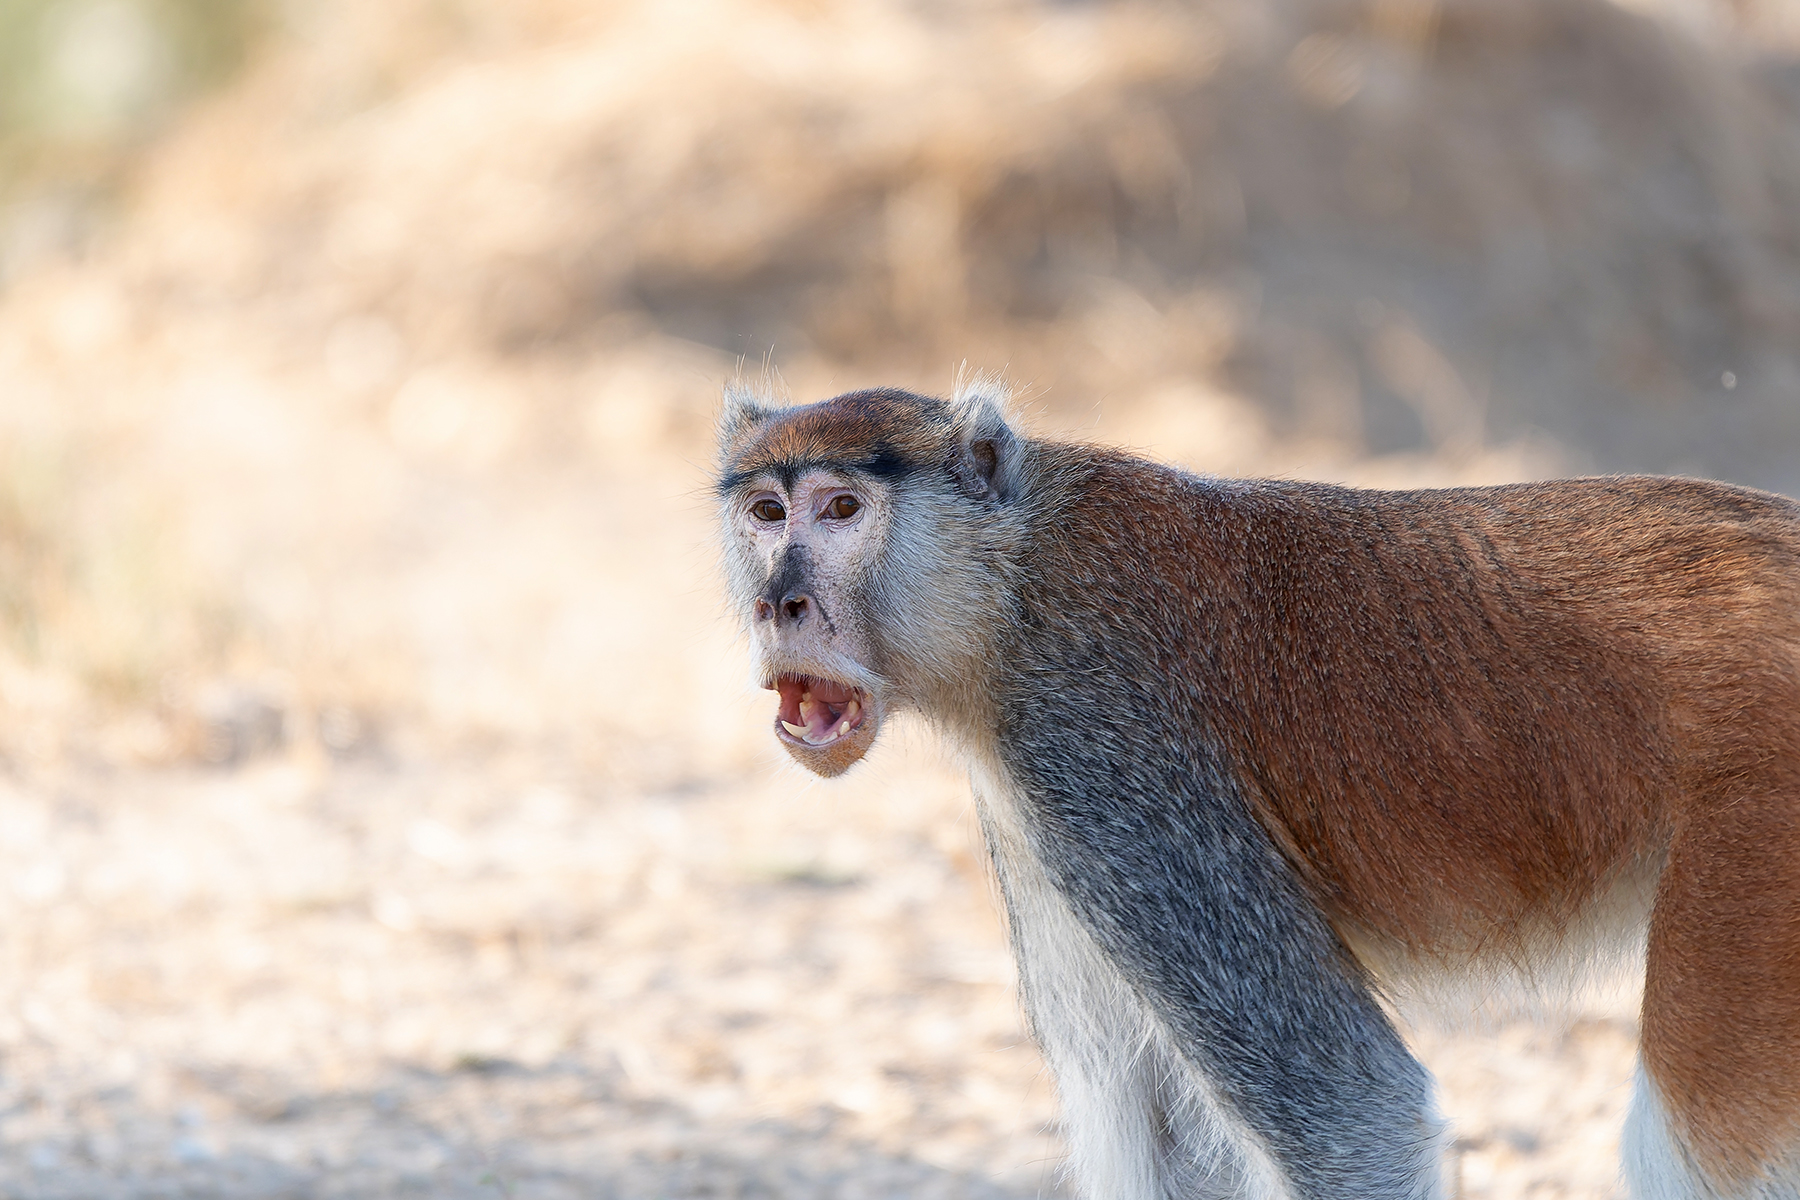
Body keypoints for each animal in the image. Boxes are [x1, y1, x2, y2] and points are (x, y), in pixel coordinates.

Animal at [713, 380, 1800, 1200]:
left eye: (840, 510)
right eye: (765, 513)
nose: (779, 602)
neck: (1011, 579)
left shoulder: (1096, 748)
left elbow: (1359, 1120)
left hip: (1759, 820)